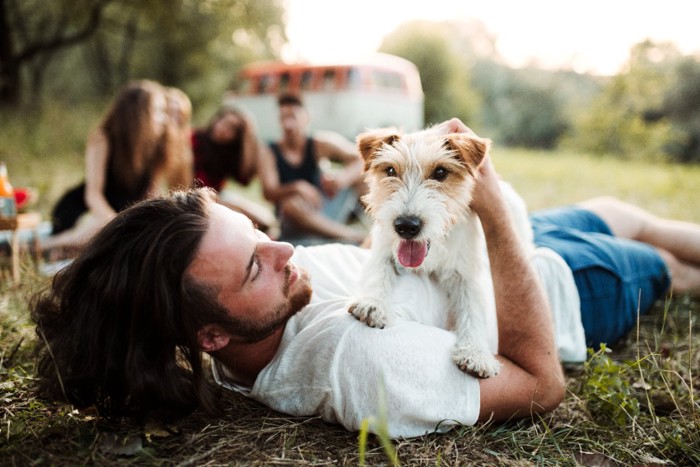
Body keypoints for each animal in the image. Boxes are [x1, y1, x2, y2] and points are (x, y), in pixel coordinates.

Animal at [348, 126, 532, 378]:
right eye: (391, 170)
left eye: (441, 172)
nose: (406, 226)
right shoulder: (383, 250)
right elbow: (378, 273)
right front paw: (372, 303)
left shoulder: (467, 274)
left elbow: (473, 310)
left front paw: (476, 352)